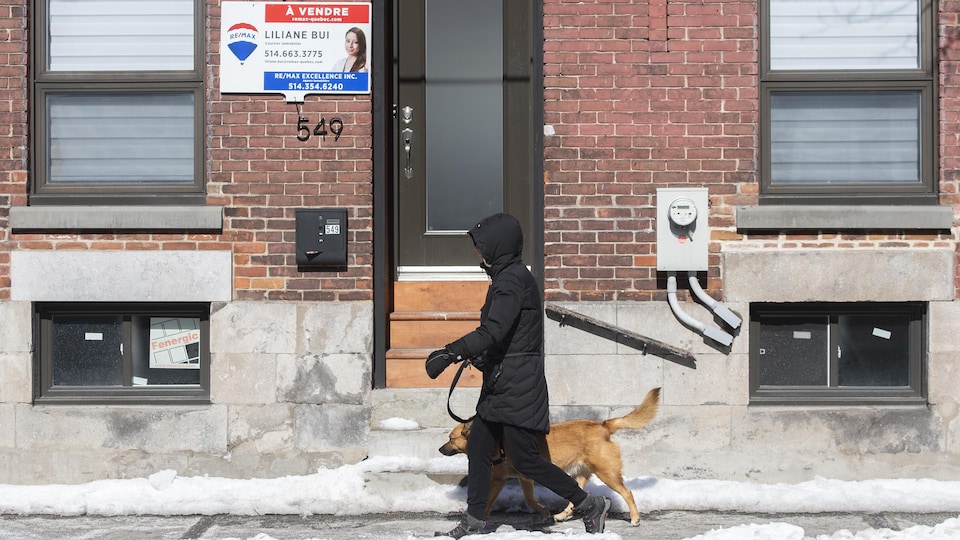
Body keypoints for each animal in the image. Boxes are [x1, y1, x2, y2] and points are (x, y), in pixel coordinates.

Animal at [436, 386, 656, 524]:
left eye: (450, 438)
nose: (439, 449)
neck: (497, 443)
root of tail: (603, 426)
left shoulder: (510, 479)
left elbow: (510, 500)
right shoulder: (518, 479)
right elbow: (525, 500)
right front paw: (543, 512)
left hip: (606, 472)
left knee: (627, 492)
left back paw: (635, 518)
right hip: (581, 474)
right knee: (578, 497)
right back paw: (563, 515)